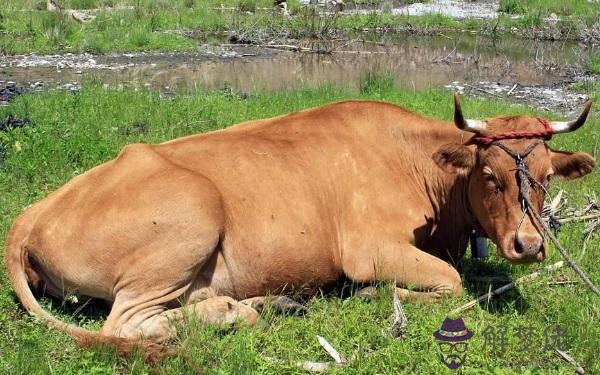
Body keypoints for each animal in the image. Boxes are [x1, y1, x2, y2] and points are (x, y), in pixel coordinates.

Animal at [4, 95, 596, 356]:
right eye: (491, 176)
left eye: (545, 176)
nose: (528, 245)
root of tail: (29, 214)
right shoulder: (368, 247)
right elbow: (451, 283)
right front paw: (374, 296)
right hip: (192, 215)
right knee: (124, 325)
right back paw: (236, 313)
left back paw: (266, 303)